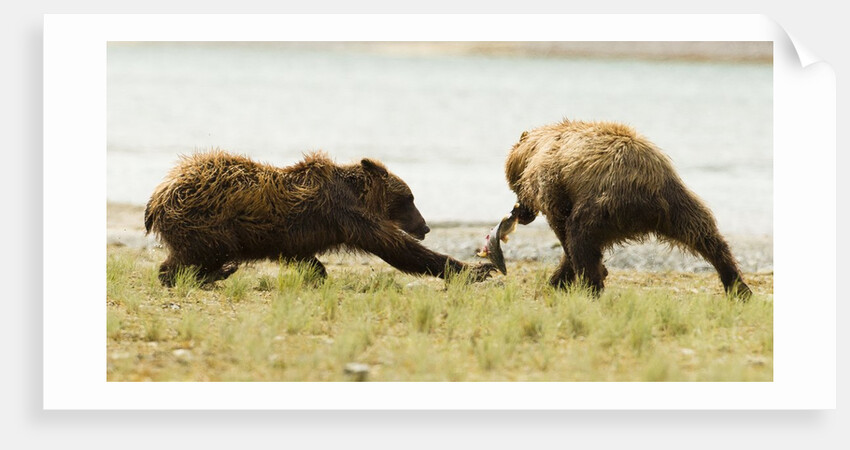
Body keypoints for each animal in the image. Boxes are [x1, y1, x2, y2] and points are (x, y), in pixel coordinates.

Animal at [144, 150, 496, 286]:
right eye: (409, 199)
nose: (425, 226)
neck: (359, 195)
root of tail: (159, 194)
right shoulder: (346, 215)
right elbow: (397, 248)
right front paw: (477, 269)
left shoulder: (301, 234)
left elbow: (305, 257)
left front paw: (318, 274)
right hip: (206, 220)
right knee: (205, 251)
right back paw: (208, 273)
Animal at [504, 119, 752, 298]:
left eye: (514, 186)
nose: (520, 213)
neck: (534, 149)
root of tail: (650, 200)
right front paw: (560, 279)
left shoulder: (553, 178)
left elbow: (561, 221)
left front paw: (572, 276)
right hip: (679, 203)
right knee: (706, 236)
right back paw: (738, 287)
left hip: (604, 203)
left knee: (579, 234)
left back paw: (592, 286)